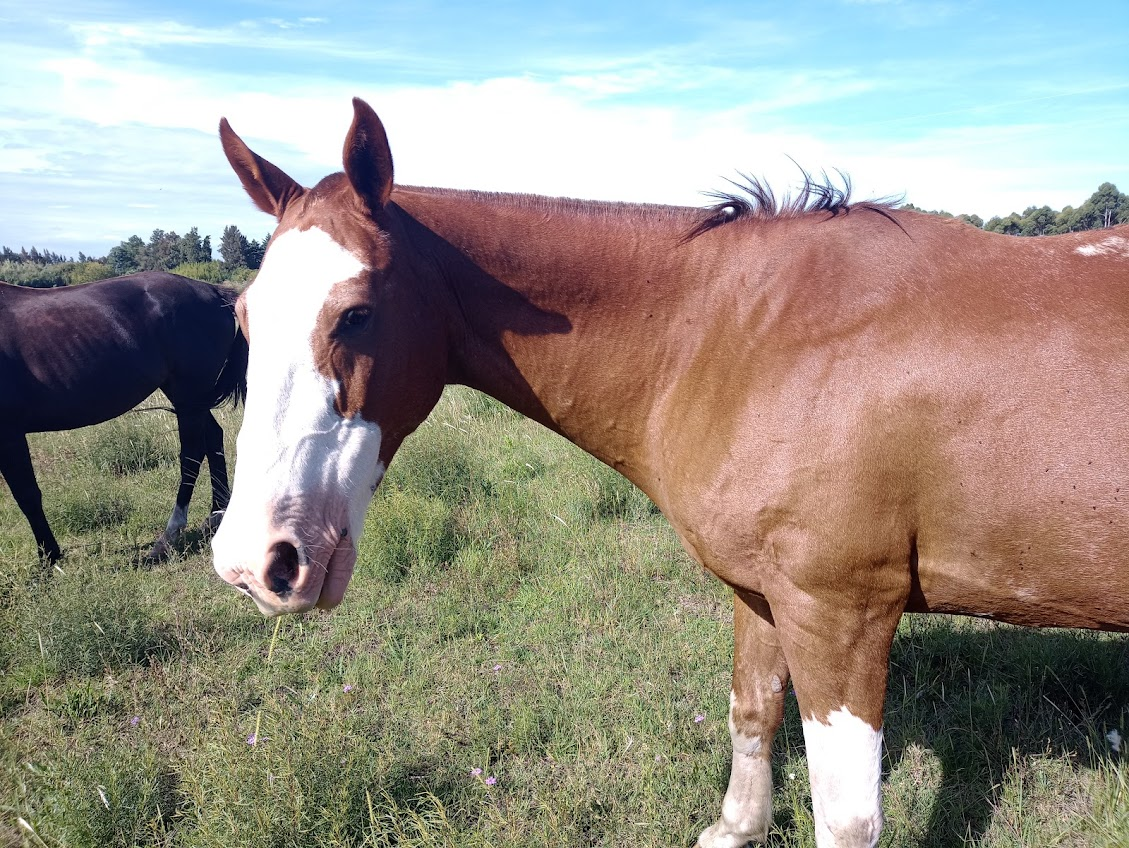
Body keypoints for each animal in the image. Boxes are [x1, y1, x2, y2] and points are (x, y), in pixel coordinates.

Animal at [1, 271, 247, 564]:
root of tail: (212, 291)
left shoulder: (10, 433)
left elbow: (27, 494)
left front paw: (49, 556)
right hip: (190, 398)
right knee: (213, 438)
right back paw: (216, 514)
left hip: (188, 395)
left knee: (192, 454)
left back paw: (168, 537)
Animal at [210, 98, 1129, 848]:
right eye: (243, 316)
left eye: (356, 313)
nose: (256, 561)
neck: (748, 331)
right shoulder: (764, 591)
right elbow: (751, 711)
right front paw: (736, 826)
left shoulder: (840, 611)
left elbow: (846, 815)